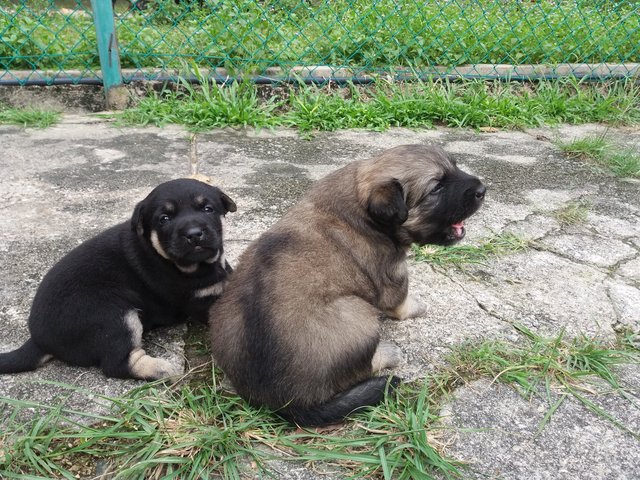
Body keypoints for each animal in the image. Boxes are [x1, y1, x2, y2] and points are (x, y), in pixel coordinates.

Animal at [0, 178, 235, 380]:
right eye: (164, 219)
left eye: (208, 209)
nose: (194, 234)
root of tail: (39, 341)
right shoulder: (199, 300)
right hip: (113, 314)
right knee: (117, 364)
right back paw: (163, 369)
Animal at [210, 144, 484, 426]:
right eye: (436, 188)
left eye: (455, 166)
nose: (482, 189)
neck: (366, 212)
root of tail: (285, 402)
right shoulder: (393, 275)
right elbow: (401, 301)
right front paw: (417, 307)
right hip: (358, 313)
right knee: (361, 368)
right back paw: (388, 353)